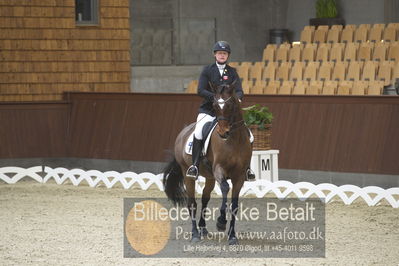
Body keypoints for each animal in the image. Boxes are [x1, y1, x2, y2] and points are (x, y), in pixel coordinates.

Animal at [163, 83, 252, 245]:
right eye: (215, 105)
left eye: (230, 104)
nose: (223, 133)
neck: (233, 140)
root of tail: (184, 131)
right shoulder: (219, 170)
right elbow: (225, 187)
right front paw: (221, 222)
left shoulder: (240, 176)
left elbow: (235, 205)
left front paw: (232, 236)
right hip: (188, 174)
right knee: (192, 203)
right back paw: (195, 234)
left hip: (210, 177)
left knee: (205, 199)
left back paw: (203, 229)